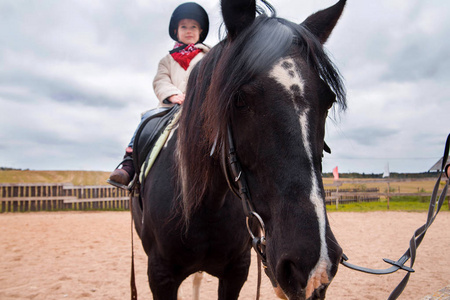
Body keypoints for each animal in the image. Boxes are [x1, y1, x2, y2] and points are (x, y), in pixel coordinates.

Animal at [132, 1, 346, 298]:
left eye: (328, 100)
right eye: (239, 99)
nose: (313, 266)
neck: (205, 207)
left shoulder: (236, 271)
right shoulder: (160, 276)